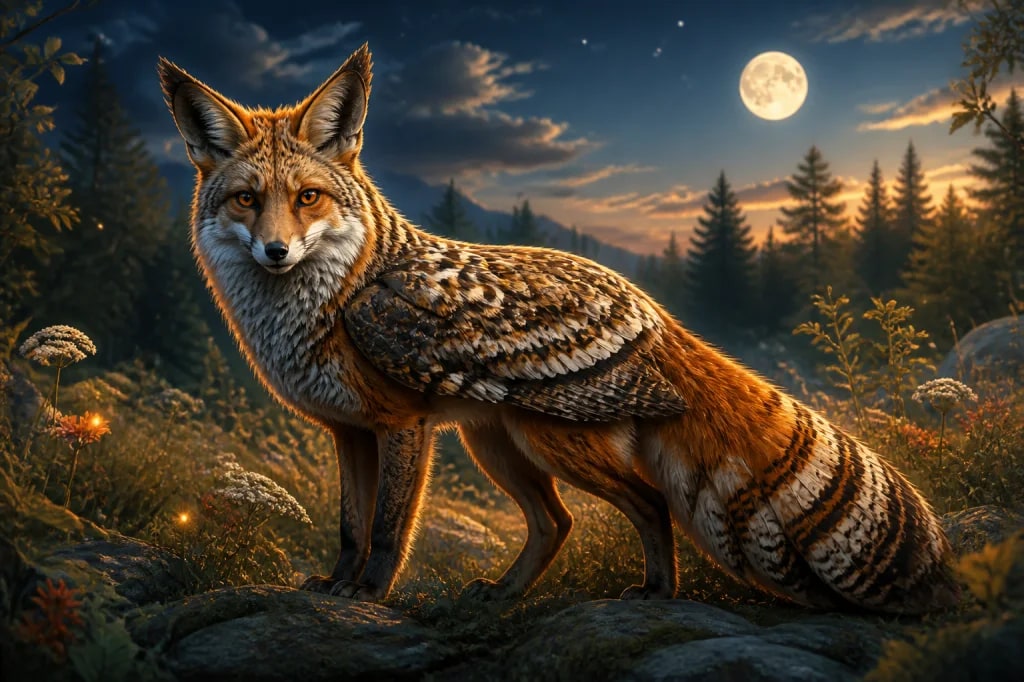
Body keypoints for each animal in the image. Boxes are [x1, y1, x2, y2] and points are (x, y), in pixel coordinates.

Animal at [157, 44, 958, 613]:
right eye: (247, 199)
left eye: (308, 197)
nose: (276, 251)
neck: (333, 301)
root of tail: (648, 310)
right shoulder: (347, 430)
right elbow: (351, 527)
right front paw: (335, 585)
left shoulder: (401, 424)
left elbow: (386, 530)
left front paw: (368, 597)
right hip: (498, 445)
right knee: (556, 524)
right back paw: (509, 597)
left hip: (548, 440)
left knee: (647, 502)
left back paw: (657, 594)